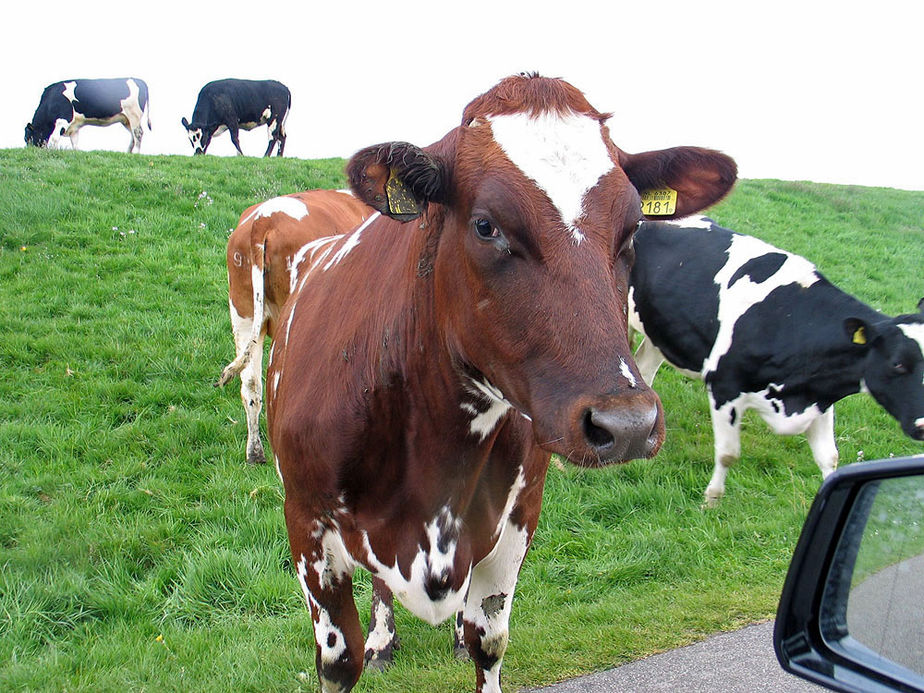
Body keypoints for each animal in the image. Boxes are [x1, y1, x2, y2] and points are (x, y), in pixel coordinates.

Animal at [262, 73, 736, 688]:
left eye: (633, 228)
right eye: (486, 226)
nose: (628, 424)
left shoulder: (517, 522)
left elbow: (488, 641)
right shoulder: (307, 525)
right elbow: (340, 659)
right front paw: (373, 643)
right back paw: (386, 636)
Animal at [628, 219, 924, 506]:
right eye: (898, 363)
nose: (922, 426)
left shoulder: (820, 397)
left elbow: (829, 458)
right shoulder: (724, 386)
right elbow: (728, 454)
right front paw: (711, 500)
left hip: (659, 331)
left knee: (644, 367)